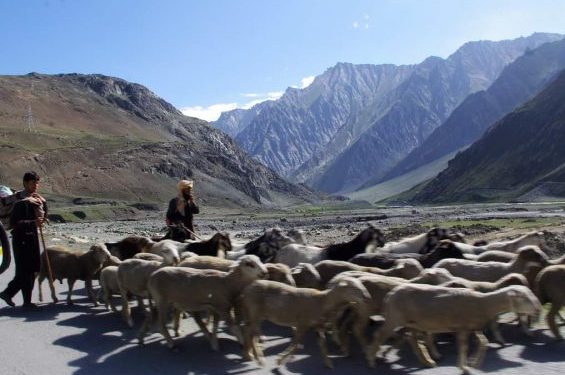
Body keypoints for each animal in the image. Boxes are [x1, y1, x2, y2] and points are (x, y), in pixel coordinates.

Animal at [138, 254, 266, 352]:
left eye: (259, 260)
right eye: (249, 264)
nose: (265, 272)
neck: (227, 282)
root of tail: (151, 277)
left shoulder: (217, 308)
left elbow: (216, 326)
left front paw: (214, 342)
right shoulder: (222, 308)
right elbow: (234, 327)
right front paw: (245, 344)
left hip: (165, 301)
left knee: (152, 316)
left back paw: (141, 338)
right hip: (163, 301)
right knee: (161, 324)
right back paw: (172, 344)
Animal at [238, 278, 370, 368]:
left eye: (362, 285)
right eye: (354, 288)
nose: (368, 298)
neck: (322, 302)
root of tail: (245, 290)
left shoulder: (318, 325)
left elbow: (322, 344)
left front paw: (329, 363)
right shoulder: (302, 323)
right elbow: (296, 344)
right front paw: (280, 360)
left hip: (256, 315)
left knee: (247, 330)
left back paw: (248, 355)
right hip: (255, 312)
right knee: (252, 334)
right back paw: (259, 359)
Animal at [364, 284, 540, 374]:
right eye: (523, 298)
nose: (538, 309)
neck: (483, 303)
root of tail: (390, 295)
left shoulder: (472, 327)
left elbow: (483, 342)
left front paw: (475, 363)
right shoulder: (462, 328)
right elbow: (463, 347)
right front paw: (464, 367)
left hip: (411, 322)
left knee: (412, 339)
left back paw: (429, 360)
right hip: (394, 318)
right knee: (379, 335)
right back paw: (371, 360)